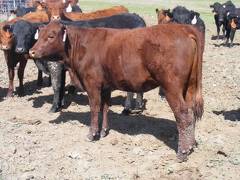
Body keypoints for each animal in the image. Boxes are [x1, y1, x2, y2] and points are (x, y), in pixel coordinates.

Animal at [29, 21, 203, 162]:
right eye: (40, 35)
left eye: (51, 35)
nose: (31, 51)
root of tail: (184, 29)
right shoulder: (106, 86)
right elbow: (105, 107)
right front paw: (104, 131)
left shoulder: (92, 85)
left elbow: (94, 109)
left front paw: (92, 134)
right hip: (189, 87)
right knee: (191, 113)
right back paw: (191, 145)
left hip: (171, 87)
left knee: (183, 115)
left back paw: (182, 152)